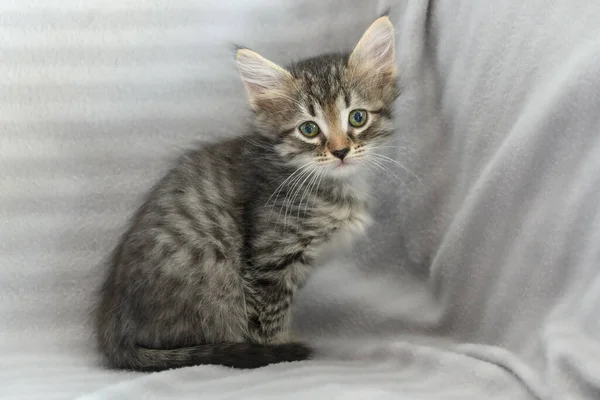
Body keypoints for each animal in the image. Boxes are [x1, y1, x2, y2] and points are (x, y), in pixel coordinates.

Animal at [96, 16, 400, 372]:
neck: (329, 185)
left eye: (357, 117)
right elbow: (270, 317)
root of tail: (113, 330)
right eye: (309, 129)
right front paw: (279, 348)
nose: (340, 151)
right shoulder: (270, 261)